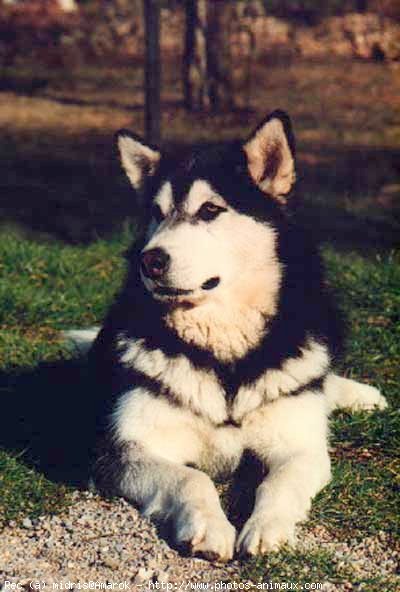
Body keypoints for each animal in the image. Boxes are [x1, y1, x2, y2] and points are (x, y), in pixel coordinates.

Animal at [69, 111, 388, 560]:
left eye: (209, 210)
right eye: (156, 212)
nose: (150, 260)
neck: (225, 353)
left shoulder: (300, 446)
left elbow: (279, 482)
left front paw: (267, 527)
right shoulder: (121, 448)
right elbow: (192, 478)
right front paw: (209, 526)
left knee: (317, 378)